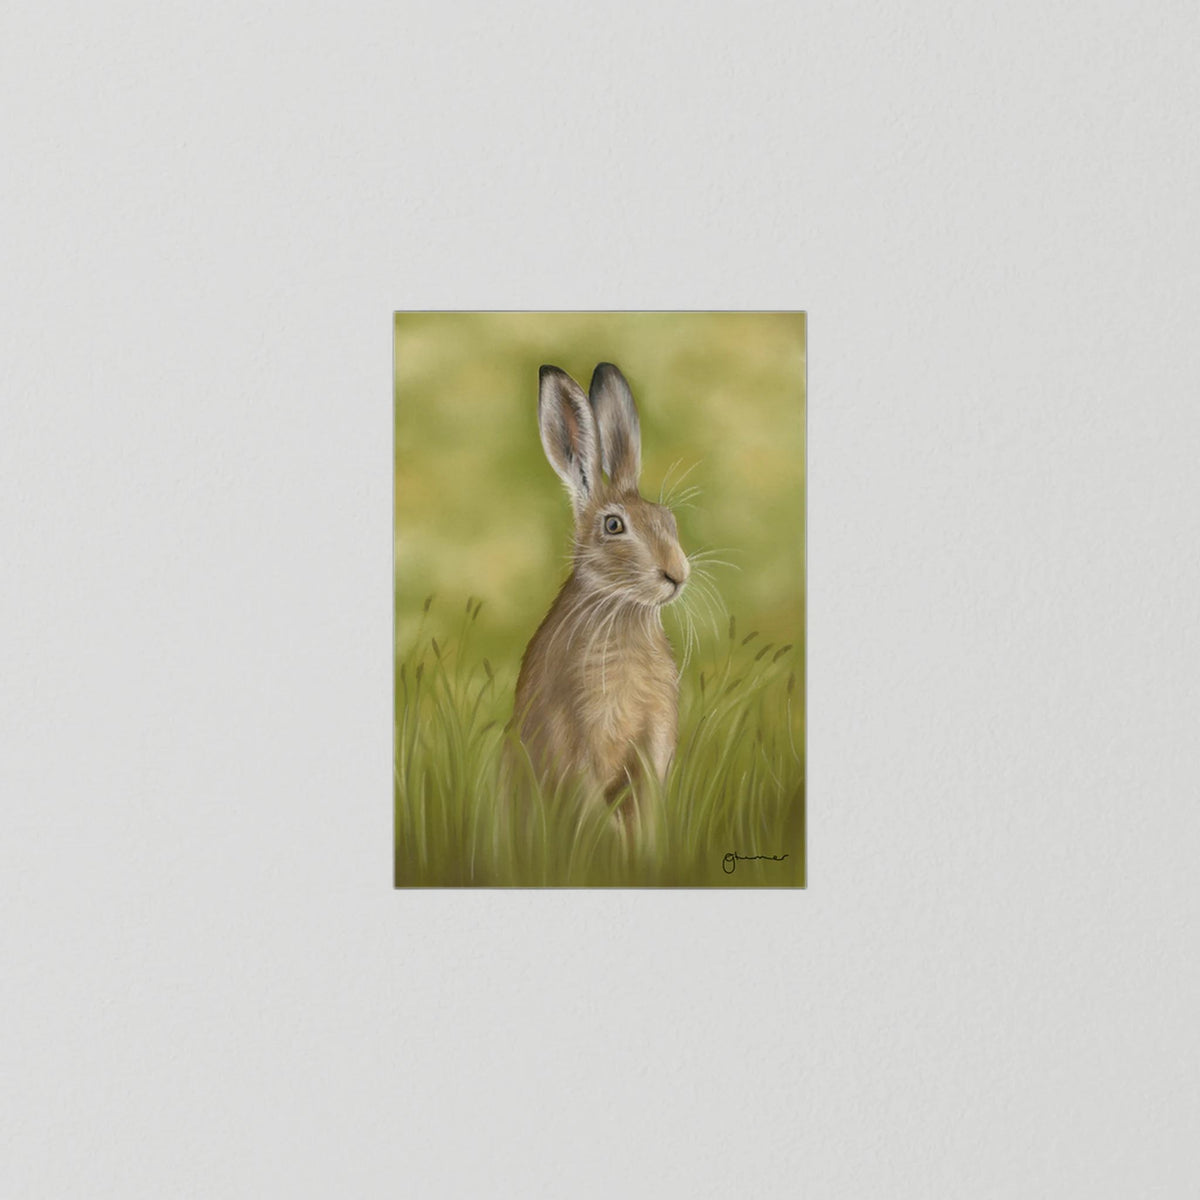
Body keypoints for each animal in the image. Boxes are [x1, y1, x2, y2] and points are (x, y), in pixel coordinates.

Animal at [512, 362, 690, 826]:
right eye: (613, 526)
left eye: (668, 519)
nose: (677, 574)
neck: (623, 611)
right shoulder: (577, 742)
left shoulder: (654, 744)